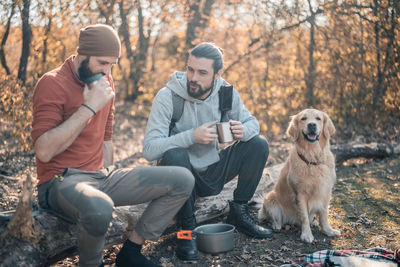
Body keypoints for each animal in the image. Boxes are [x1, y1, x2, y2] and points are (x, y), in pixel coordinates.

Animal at [260, 109, 340, 243]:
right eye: (303, 119)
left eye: (318, 118)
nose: (311, 125)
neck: (312, 158)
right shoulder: (300, 193)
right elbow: (304, 217)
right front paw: (307, 235)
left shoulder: (326, 191)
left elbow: (324, 214)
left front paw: (328, 230)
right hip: (270, 198)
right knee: (272, 217)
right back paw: (276, 225)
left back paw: (314, 222)